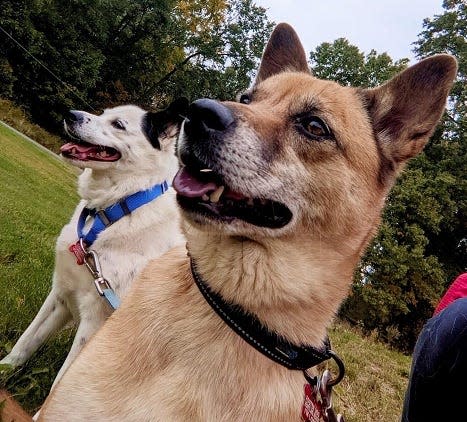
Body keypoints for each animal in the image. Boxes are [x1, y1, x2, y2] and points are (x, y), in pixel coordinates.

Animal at [2, 98, 188, 392]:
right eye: (103, 113)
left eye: (118, 124)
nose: (70, 114)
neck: (115, 210)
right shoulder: (61, 293)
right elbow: (25, 342)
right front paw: (5, 369)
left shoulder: (96, 320)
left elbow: (60, 384)